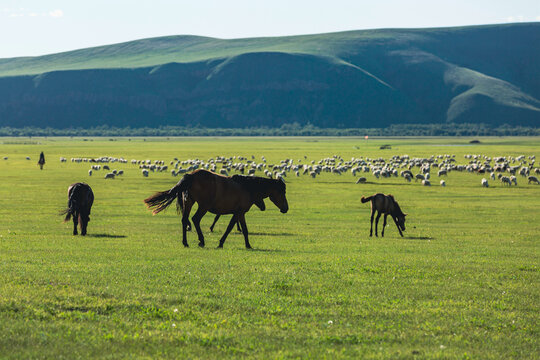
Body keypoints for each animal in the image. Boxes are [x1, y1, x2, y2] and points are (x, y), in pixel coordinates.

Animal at [142, 169, 286, 248]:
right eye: (282, 191)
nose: (286, 208)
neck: (247, 187)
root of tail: (191, 175)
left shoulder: (240, 214)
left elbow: (244, 230)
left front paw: (248, 245)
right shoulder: (238, 213)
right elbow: (230, 228)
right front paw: (221, 243)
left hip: (189, 202)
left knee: (184, 220)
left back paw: (185, 242)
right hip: (203, 206)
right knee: (195, 219)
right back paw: (201, 241)